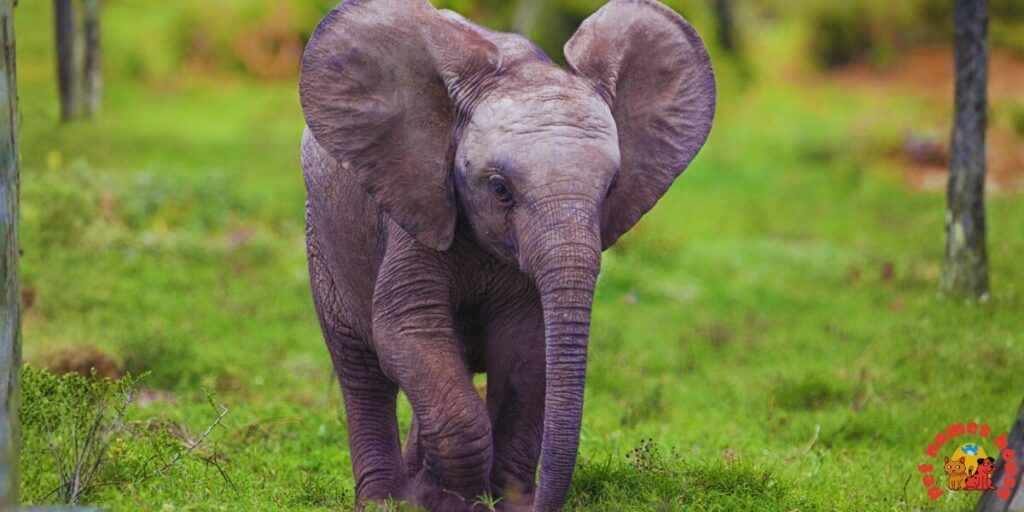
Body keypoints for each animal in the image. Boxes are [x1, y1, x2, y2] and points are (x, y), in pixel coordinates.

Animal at [298, 0, 715, 510]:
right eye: (500, 189)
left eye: (610, 189)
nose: (534, 501)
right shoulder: (416, 212)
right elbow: (408, 332)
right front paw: (449, 502)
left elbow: (525, 353)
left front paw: (496, 503)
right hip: (323, 235)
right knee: (360, 368)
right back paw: (385, 501)